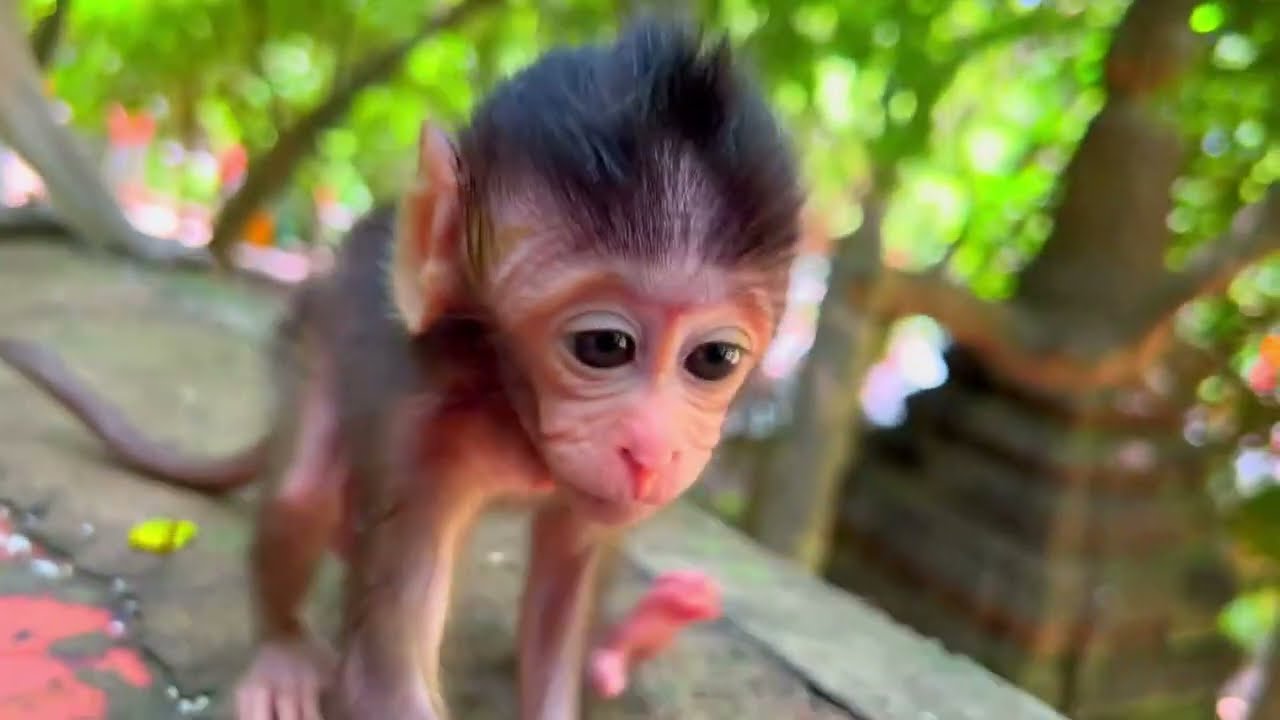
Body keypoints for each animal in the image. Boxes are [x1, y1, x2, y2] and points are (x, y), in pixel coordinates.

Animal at [0, 20, 803, 720]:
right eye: (604, 346)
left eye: (714, 359)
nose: (654, 450)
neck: (511, 405)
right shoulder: (421, 430)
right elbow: (379, 676)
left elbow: (560, 601)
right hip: (309, 348)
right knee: (302, 491)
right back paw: (283, 650)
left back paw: (625, 645)